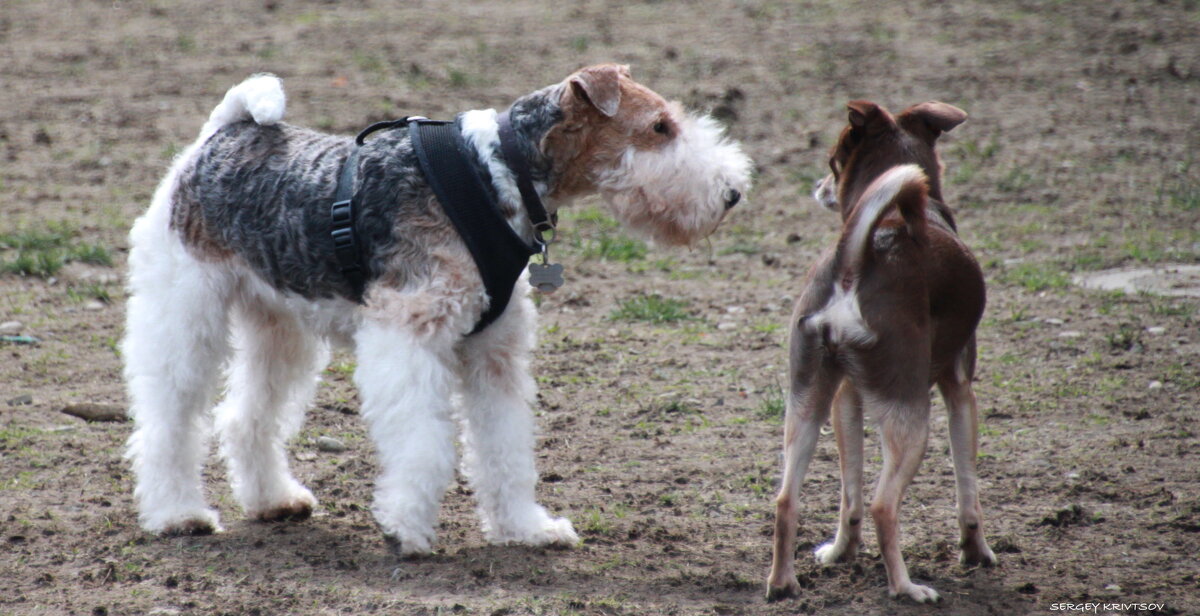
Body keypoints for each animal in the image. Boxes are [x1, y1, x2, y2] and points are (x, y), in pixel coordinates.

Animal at [126, 64, 753, 554]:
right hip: (185, 316)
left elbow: (506, 450)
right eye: (659, 127)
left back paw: (274, 500)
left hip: (279, 326)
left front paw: (526, 529)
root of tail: (221, 133)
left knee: (246, 415)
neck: (498, 174)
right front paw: (405, 527)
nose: (732, 194)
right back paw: (179, 514)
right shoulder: (409, 338)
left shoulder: (494, 351)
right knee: (168, 420)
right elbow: (424, 446)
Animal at [763, 99, 998, 600]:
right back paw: (906, 587)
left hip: (805, 404)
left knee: (788, 499)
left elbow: (847, 494)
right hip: (911, 416)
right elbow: (967, 490)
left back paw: (783, 583)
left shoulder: (844, 398)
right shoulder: (960, 391)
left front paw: (840, 552)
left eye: (832, 163)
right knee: (883, 506)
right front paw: (976, 553)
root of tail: (859, 259)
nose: (818, 186)